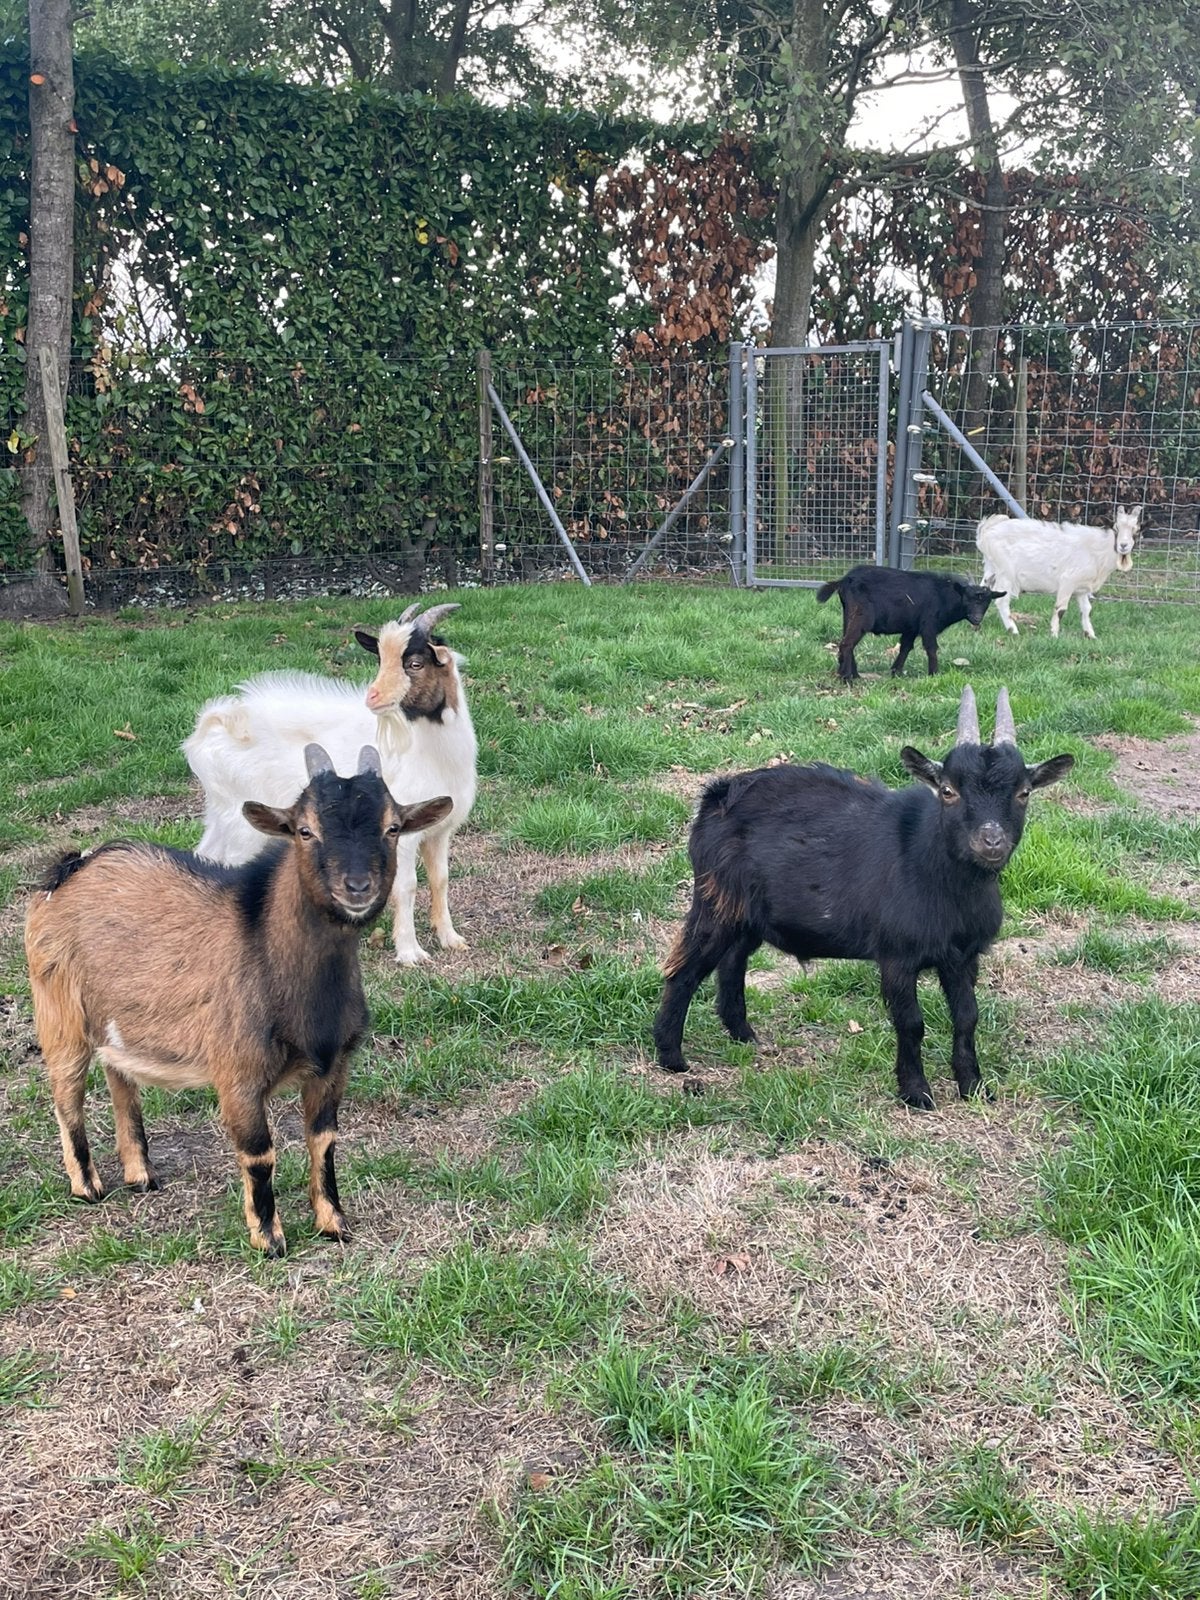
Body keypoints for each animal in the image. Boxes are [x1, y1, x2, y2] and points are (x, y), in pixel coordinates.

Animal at [25, 744, 452, 1256]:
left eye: (392, 827)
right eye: (304, 829)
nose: (357, 887)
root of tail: (68, 869)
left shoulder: (334, 1066)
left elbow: (324, 1140)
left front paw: (334, 1223)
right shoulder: (238, 1073)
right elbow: (259, 1153)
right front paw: (269, 1239)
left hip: (116, 1021)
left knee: (119, 1078)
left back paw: (141, 1175)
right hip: (59, 1011)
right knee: (66, 1091)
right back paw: (87, 1186)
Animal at [184, 602, 477, 965]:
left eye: (415, 663)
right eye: (380, 659)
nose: (373, 697)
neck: (428, 751)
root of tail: (216, 723)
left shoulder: (440, 831)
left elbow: (441, 879)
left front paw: (451, 938)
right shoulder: (403, 832)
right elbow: (407, 885)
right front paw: (411, 952)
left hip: (221, 813)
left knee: (206, 856)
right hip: (243, 824)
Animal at [653, 687, 1073, 1109]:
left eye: (1023, 793)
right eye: (948, 791)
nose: (991, 841)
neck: (936, 871)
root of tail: (716, 795)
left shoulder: (963, 956)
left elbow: (967, 1016)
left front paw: (973, 1086)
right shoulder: (896, 956)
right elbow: (911, 1022)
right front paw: (916, 1092)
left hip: (749, 915)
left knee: (733, 960)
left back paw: (742, 1033)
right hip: (716, 899)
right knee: (684, 968)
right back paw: (671, 1057)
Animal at [816, 565, 1004, 682]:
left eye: (987, 601)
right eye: (967, 598)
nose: (977, 618)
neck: (942, 595)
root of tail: (844, 580)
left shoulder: (911, 628)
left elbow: (905, 647)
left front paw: (896, 671)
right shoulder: (928, 624)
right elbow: (931, 648)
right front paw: (934, 674)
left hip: (848, 614)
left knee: (846, 641)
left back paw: (854, 674)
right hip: (862, 616)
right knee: (847, 643)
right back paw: (847, 678)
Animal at [976, 506, 1142, 638]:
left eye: (1136, 530)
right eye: (1116, 528)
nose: (1123, 545)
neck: (1097, 550)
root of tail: (987, 530)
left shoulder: (1081, 589)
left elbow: (1086, 610)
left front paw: (1090, 635)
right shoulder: (1068, 581)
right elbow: (1061, 609)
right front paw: (1054, 635)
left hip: (991, 569)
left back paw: (976, 626)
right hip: (1006, 573)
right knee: (1002, 601)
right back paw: (1013, 630)